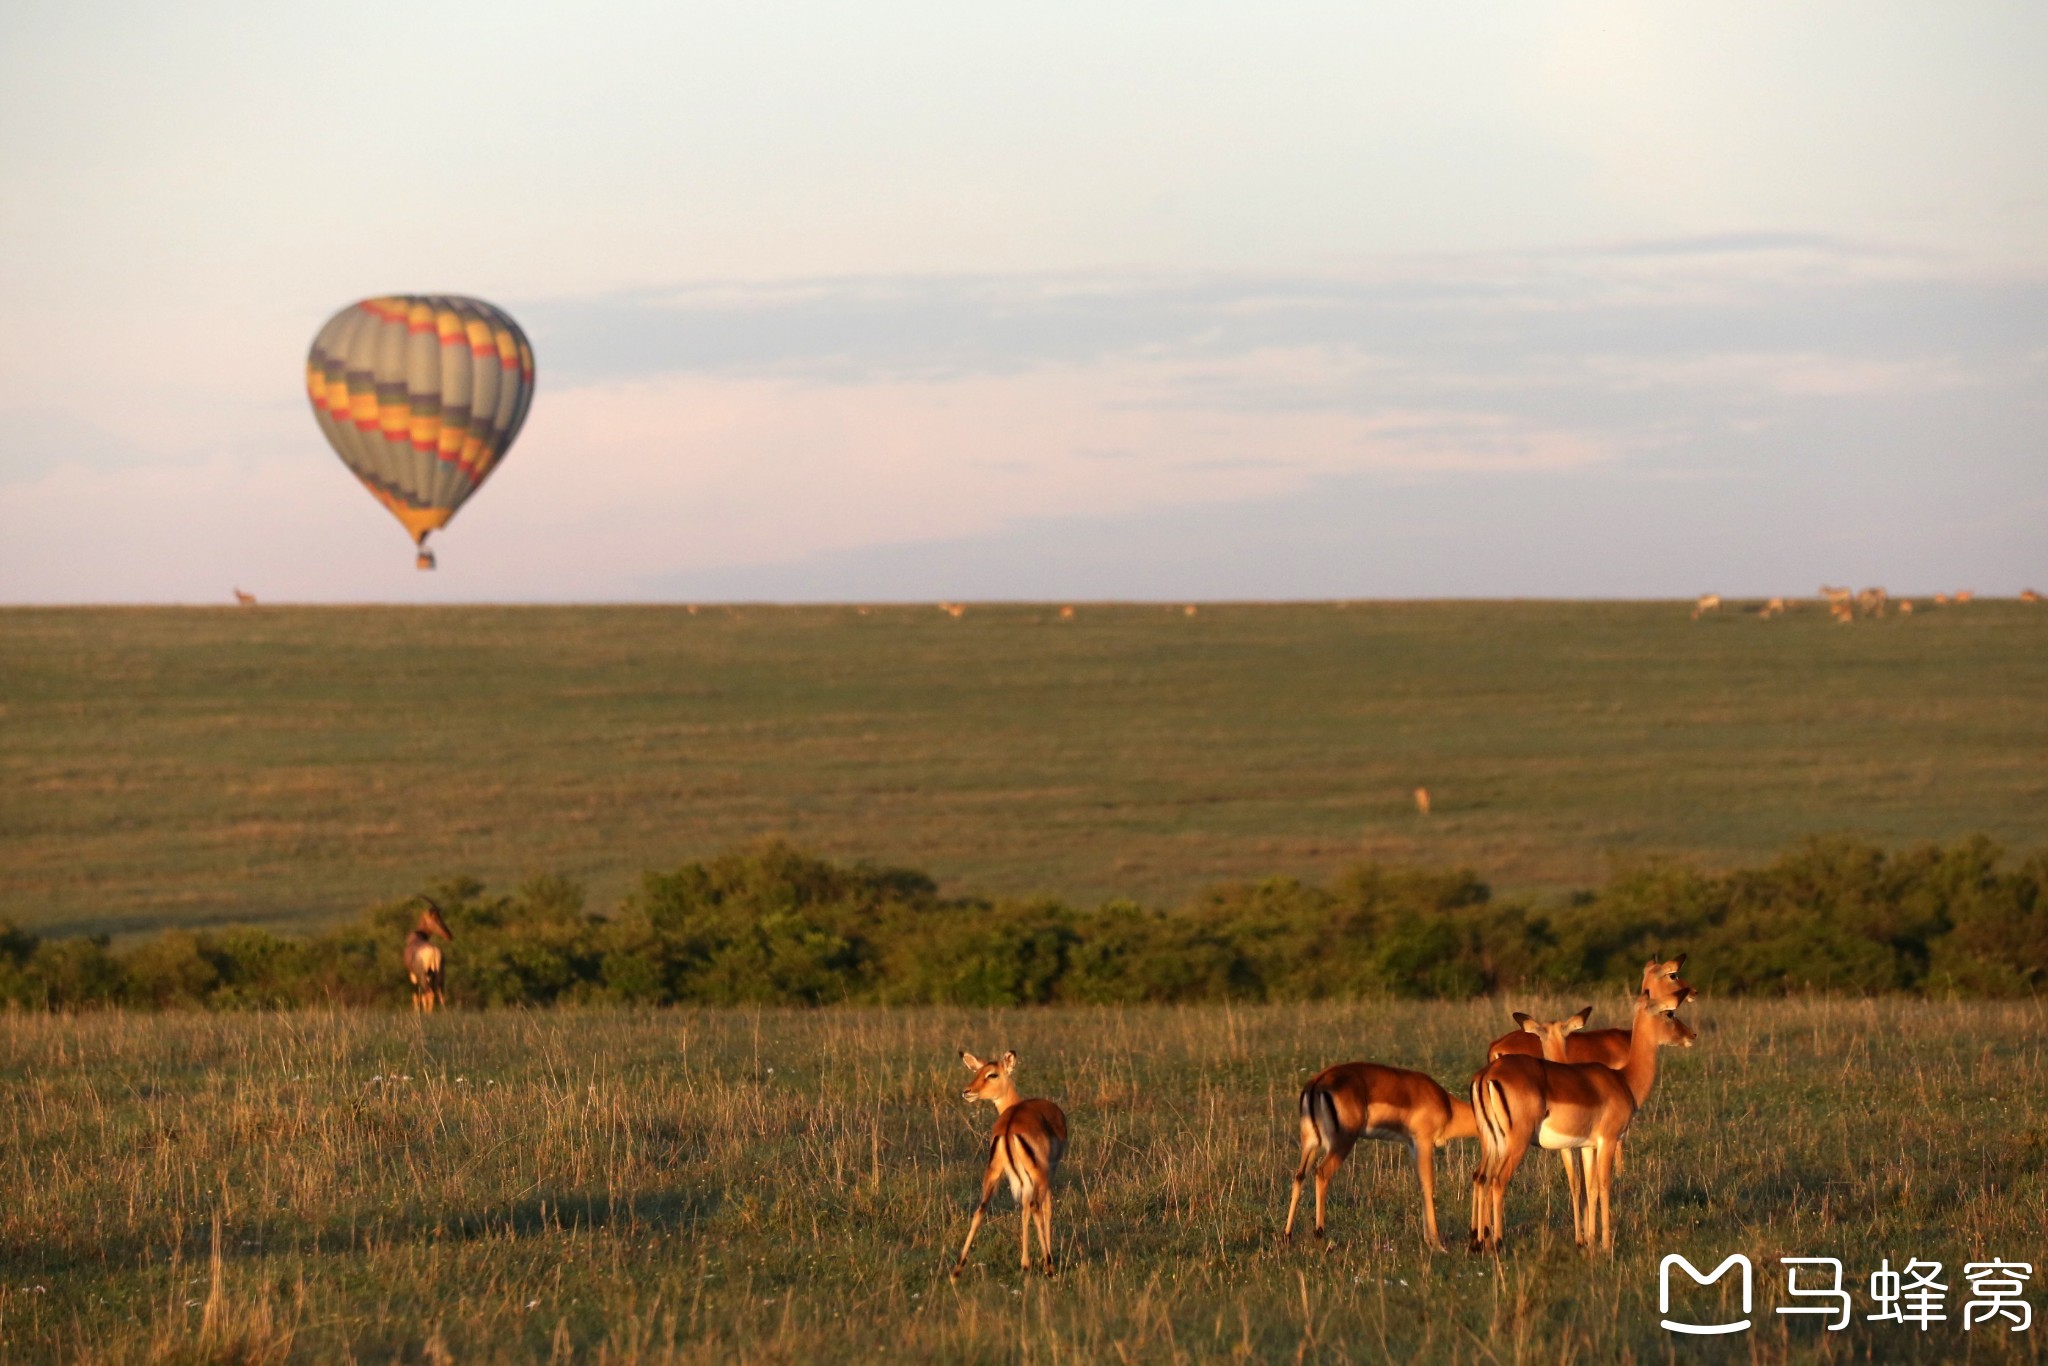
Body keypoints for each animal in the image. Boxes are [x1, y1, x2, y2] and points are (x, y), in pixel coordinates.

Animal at [950, 1056, 1064, 1277]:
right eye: (978, 1072)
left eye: (991, 1074)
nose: (967, 1091)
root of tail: (1009, 1126)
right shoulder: (1048, 1172)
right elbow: (1044, 1209)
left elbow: (1023, 1210)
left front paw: (1025, 1262)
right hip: (1039, 1175)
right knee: (1037, 1207)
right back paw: (1050, 1267)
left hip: (995, 1173)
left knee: (981, 1209)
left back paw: (957, 1270)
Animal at [1277, 1064, 1474, 1253]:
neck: (1448, 1106)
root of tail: (1317, 1082)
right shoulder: (1423, 1142)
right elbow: (1428, 1186)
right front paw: (1437, 1245)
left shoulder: (1412, 1145)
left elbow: (1420, 1185)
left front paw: (1429, 1241)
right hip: (1342, 1142)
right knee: (1322, 1173)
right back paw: (1320, 1236)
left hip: (1310, 1144)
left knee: (1299, 1177)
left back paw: (1287, 1236)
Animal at [1474, 987, 1695, 1253]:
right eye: (1670, 1013)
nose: (1691, 1035)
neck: (1624, 1080)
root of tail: (1489, 1073)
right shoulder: (1607, 1141)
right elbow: (1604, 1185)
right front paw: (1606, 1244)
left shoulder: (1588, 1146)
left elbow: (1590, 1188)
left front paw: (1589, 1241)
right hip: (1517, 1142)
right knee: (1498, 1181)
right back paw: (1496, 1242)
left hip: (1493, 1143)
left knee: (1482, 1178)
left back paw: (1478, 1241)